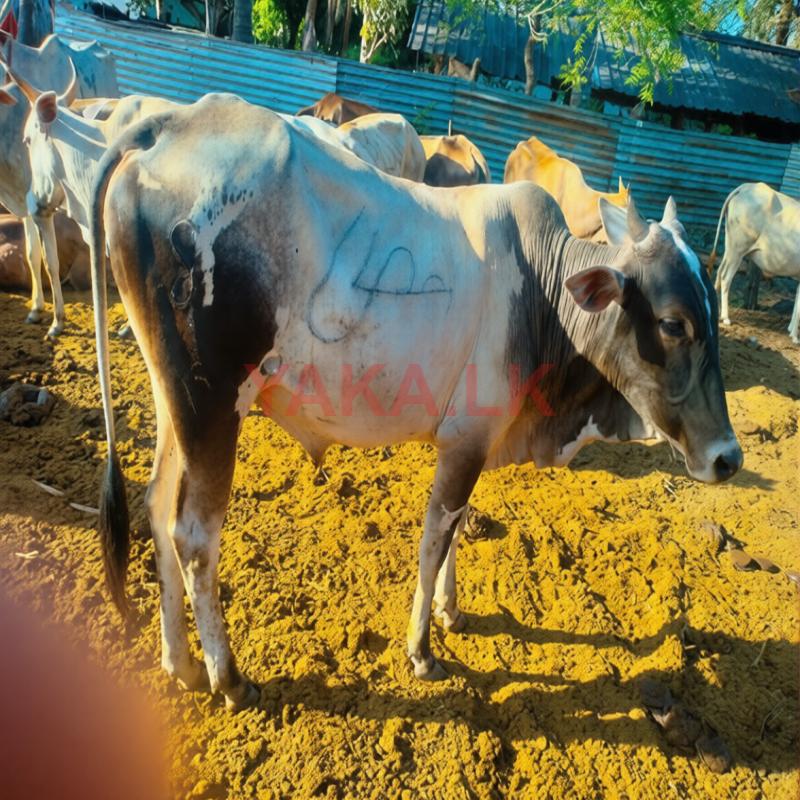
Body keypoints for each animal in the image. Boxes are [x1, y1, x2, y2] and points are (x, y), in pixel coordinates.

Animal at [0, 33, 117, 335]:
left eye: (28, 139)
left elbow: (49, 261)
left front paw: (57, 320)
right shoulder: (26, 203)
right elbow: (32, 255)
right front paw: (36, 309)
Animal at [87, 94, 741, 712]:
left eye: (710, 313)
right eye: (673, 323)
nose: (728, 458)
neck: (543, 290)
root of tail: (170, 123)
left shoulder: (469, 442)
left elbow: (455, 530)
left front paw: (451, 613)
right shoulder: (466, 442)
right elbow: (434, 540)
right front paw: (422, 650)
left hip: (175, 401)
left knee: (156, 506)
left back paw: (181, 663)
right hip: (215, 407)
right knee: (195, 537)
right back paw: (228, 677)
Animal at [707, 182, 800, 343]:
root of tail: (746, 186)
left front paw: (791, 332)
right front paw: (795, 337)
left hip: (730, 246)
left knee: (719, 272)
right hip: (738, 248)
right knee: (725, 276)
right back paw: (725, 317)